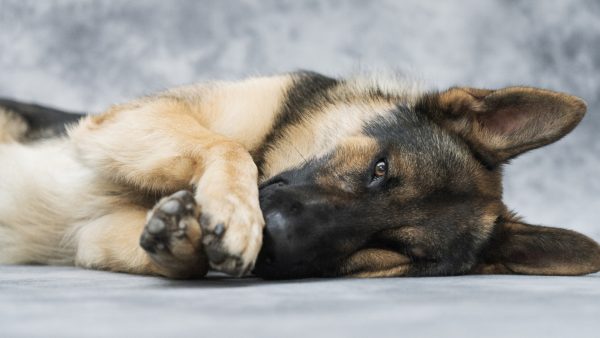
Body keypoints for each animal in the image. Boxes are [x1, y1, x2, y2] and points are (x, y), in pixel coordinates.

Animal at [1, 70, 600, 278]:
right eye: (380, 169)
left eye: (393, 249)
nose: (276, 240)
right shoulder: (127, 121)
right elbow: (230, 149)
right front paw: (235, 213)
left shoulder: (90, 235)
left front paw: (181, 239)